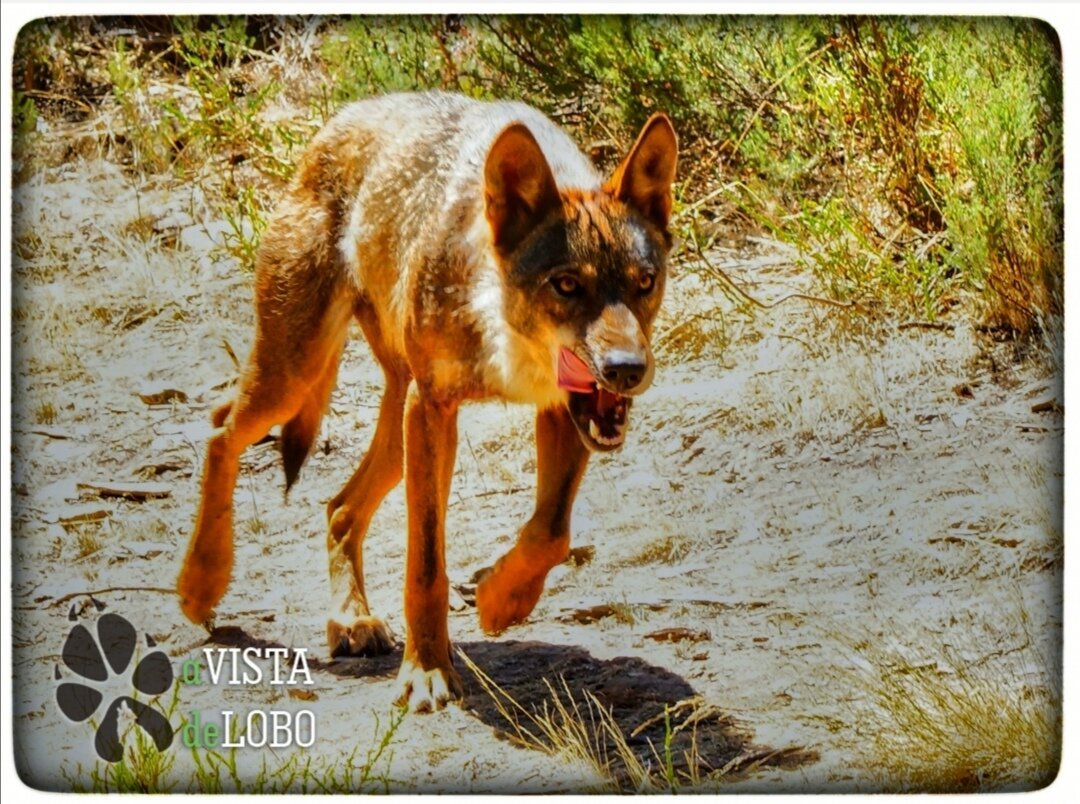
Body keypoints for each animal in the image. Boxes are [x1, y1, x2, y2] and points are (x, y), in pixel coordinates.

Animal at [178, 91, 678, 713]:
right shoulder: (433, 410)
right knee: (220, 428)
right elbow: (425, 566)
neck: (503, 330)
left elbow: (550, 534)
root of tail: (340, 119)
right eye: (566, 285)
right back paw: (201, 583)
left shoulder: (563, 411)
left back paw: (351, 620)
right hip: (294, 378)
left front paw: (501, 601)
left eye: (644, 281)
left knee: (338, 507)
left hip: (393, 430)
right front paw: (427, 672)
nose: (627, 370)